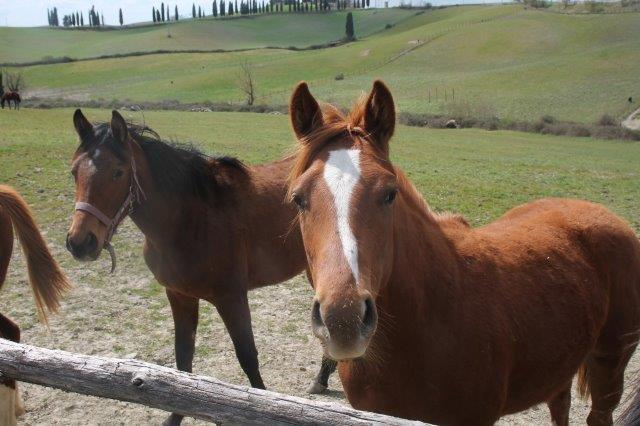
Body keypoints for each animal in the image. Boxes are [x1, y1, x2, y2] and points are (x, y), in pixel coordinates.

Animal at [65, 110, 337, 425]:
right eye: (74, 171)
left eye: (118, 172)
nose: (80, 242)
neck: (190, 218)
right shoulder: (179, 295)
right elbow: (183, 360)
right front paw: (175, 416)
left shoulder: (231, 298)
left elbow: (247, 357)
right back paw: (322, 377)